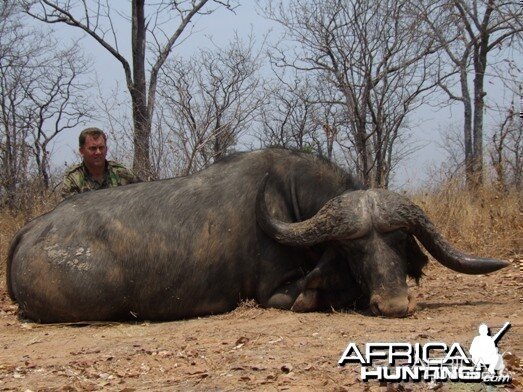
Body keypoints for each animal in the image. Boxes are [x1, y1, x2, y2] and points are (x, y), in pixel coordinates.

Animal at [6, 147, 510, 322]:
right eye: (354, 250)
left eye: (398, 242)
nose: (393, 304)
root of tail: (32, 230)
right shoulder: (273, 292)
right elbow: (310, 296)